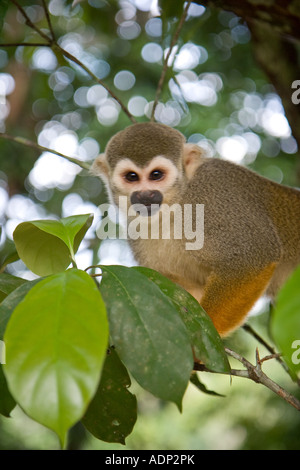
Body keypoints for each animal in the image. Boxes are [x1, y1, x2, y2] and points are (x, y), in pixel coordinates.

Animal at [92, 122, 300, 338]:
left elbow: (254, 255)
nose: (145, 195)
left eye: (156, 175)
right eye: (131, 177)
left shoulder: (215, 194)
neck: (174, 206)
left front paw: (207, 332)